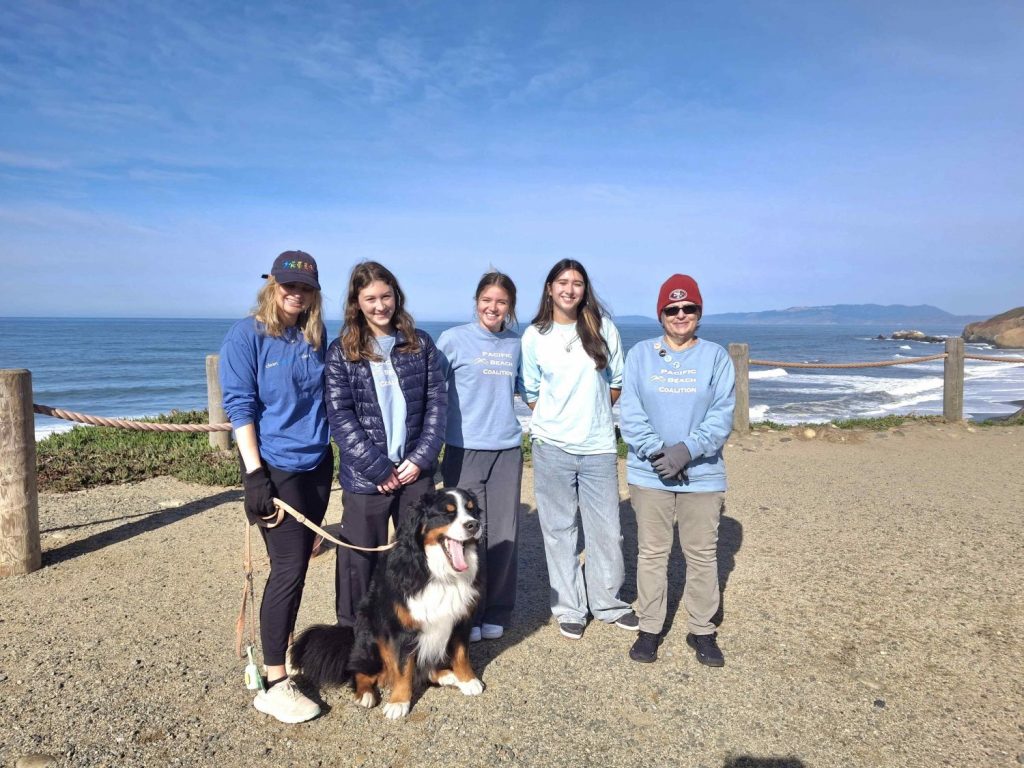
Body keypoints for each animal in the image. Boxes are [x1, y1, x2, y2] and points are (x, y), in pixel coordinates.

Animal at [292, 489, 483, 720]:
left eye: (472, 510)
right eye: (448, 513)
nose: (474, 525)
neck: (436, 572)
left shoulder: (462, 618)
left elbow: (461, 654)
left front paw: (468, 680)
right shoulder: (402, 630)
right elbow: (403, 668)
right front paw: (399, 702)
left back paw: (447, 675)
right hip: (370, 638)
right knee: (359, 670)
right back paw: (366, 694)